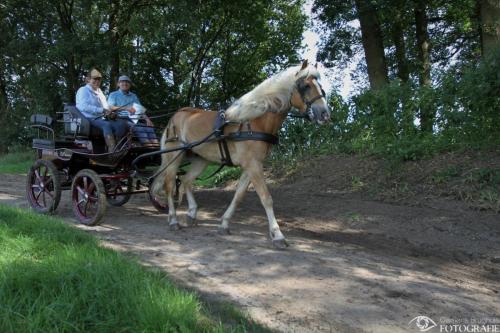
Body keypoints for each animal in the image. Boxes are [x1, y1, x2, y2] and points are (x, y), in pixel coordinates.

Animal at [152, 59, 332, 246]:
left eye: (320, 86)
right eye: (305, 86)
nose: (325, 114)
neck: (254, 121)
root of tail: (176, 116)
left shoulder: (251, 166)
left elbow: (238, 196)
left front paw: (224, 224)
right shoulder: (253, 165)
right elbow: (266, 198)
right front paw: (277, 235)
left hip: (201, 159)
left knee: (186, 181)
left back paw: (192, 213)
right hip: (174, 156)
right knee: (170, 185)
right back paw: (173, 220)